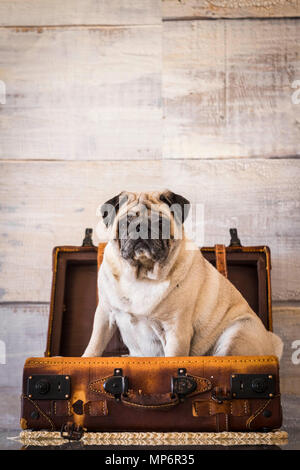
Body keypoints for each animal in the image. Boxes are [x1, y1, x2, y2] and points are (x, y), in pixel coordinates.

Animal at [82, 189, 284, 358]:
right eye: (127, 222)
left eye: (160, 223)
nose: (142, 227)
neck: (142, 275)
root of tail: (271, 344)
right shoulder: (104, 315)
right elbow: (95, 344)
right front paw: (86, 358)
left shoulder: (176, 332)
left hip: (237, 332)